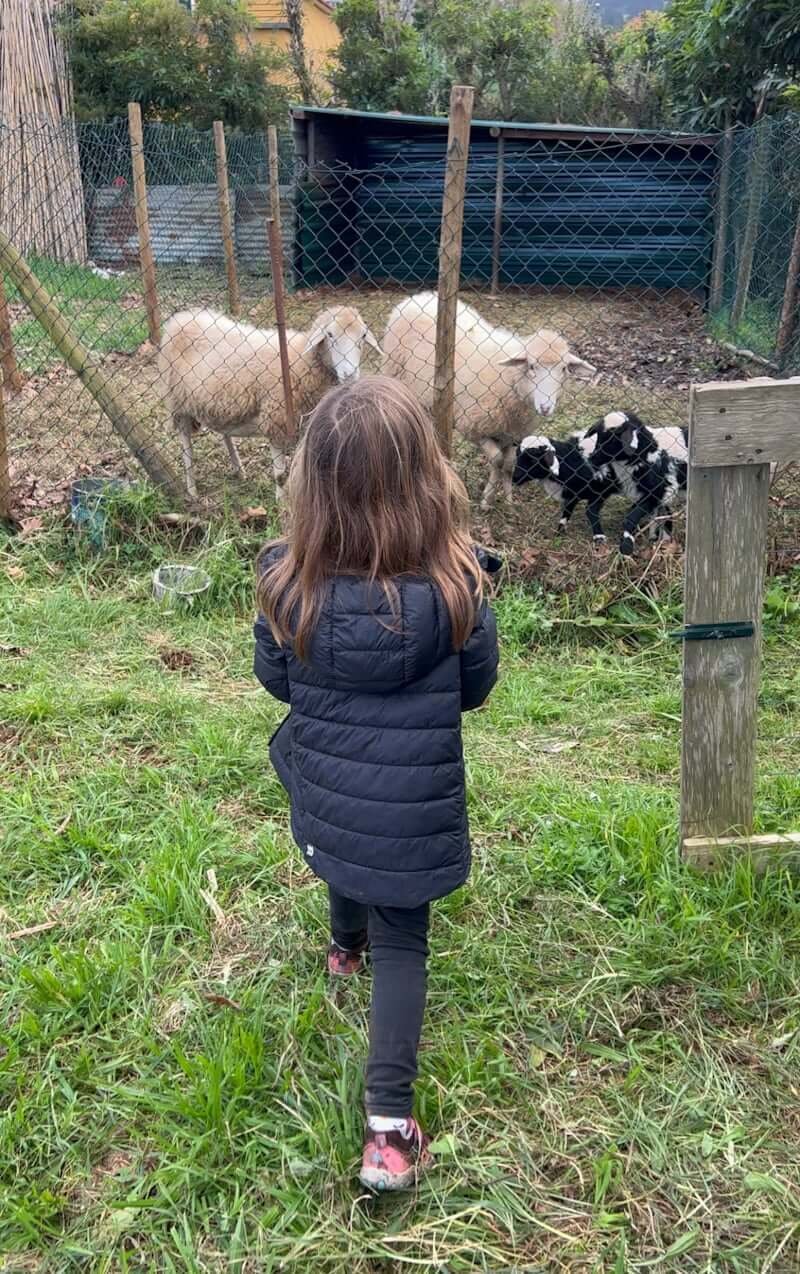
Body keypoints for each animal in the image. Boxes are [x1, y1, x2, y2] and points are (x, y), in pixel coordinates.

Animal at [161, 305, 379, 499]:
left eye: (362, 336)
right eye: (330, 335)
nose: (350, 375)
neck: (302, 360)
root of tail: (181, 318)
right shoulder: (276, 421)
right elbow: (280, 474)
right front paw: (280, 504)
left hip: (220, 402)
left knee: (225, 433)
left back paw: (239, 470)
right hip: (178, 403)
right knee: (186, 448)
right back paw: (192, 490)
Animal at [379, 291, 593, 507]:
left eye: (564, 369)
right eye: (532, 366)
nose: (546, 407)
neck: (509, 381)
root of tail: (417, 297)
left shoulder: (512, 434)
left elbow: (508, 464)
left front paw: (508, 499)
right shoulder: (475, 428)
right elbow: (497, 460)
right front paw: (487, 500)